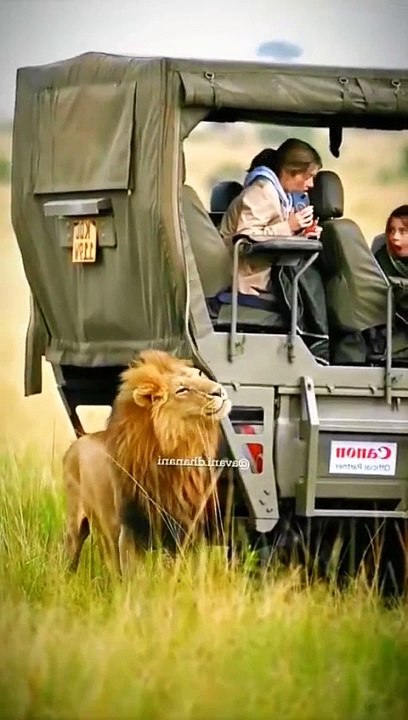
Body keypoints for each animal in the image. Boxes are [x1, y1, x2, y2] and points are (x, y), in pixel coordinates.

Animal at [63, 349, 232, 575]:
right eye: (182, 390)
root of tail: (79, 440)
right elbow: (134, 576)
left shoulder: (189, 529)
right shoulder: (131, 530)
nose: (219, 391)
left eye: (199, 374)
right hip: (75, 524)